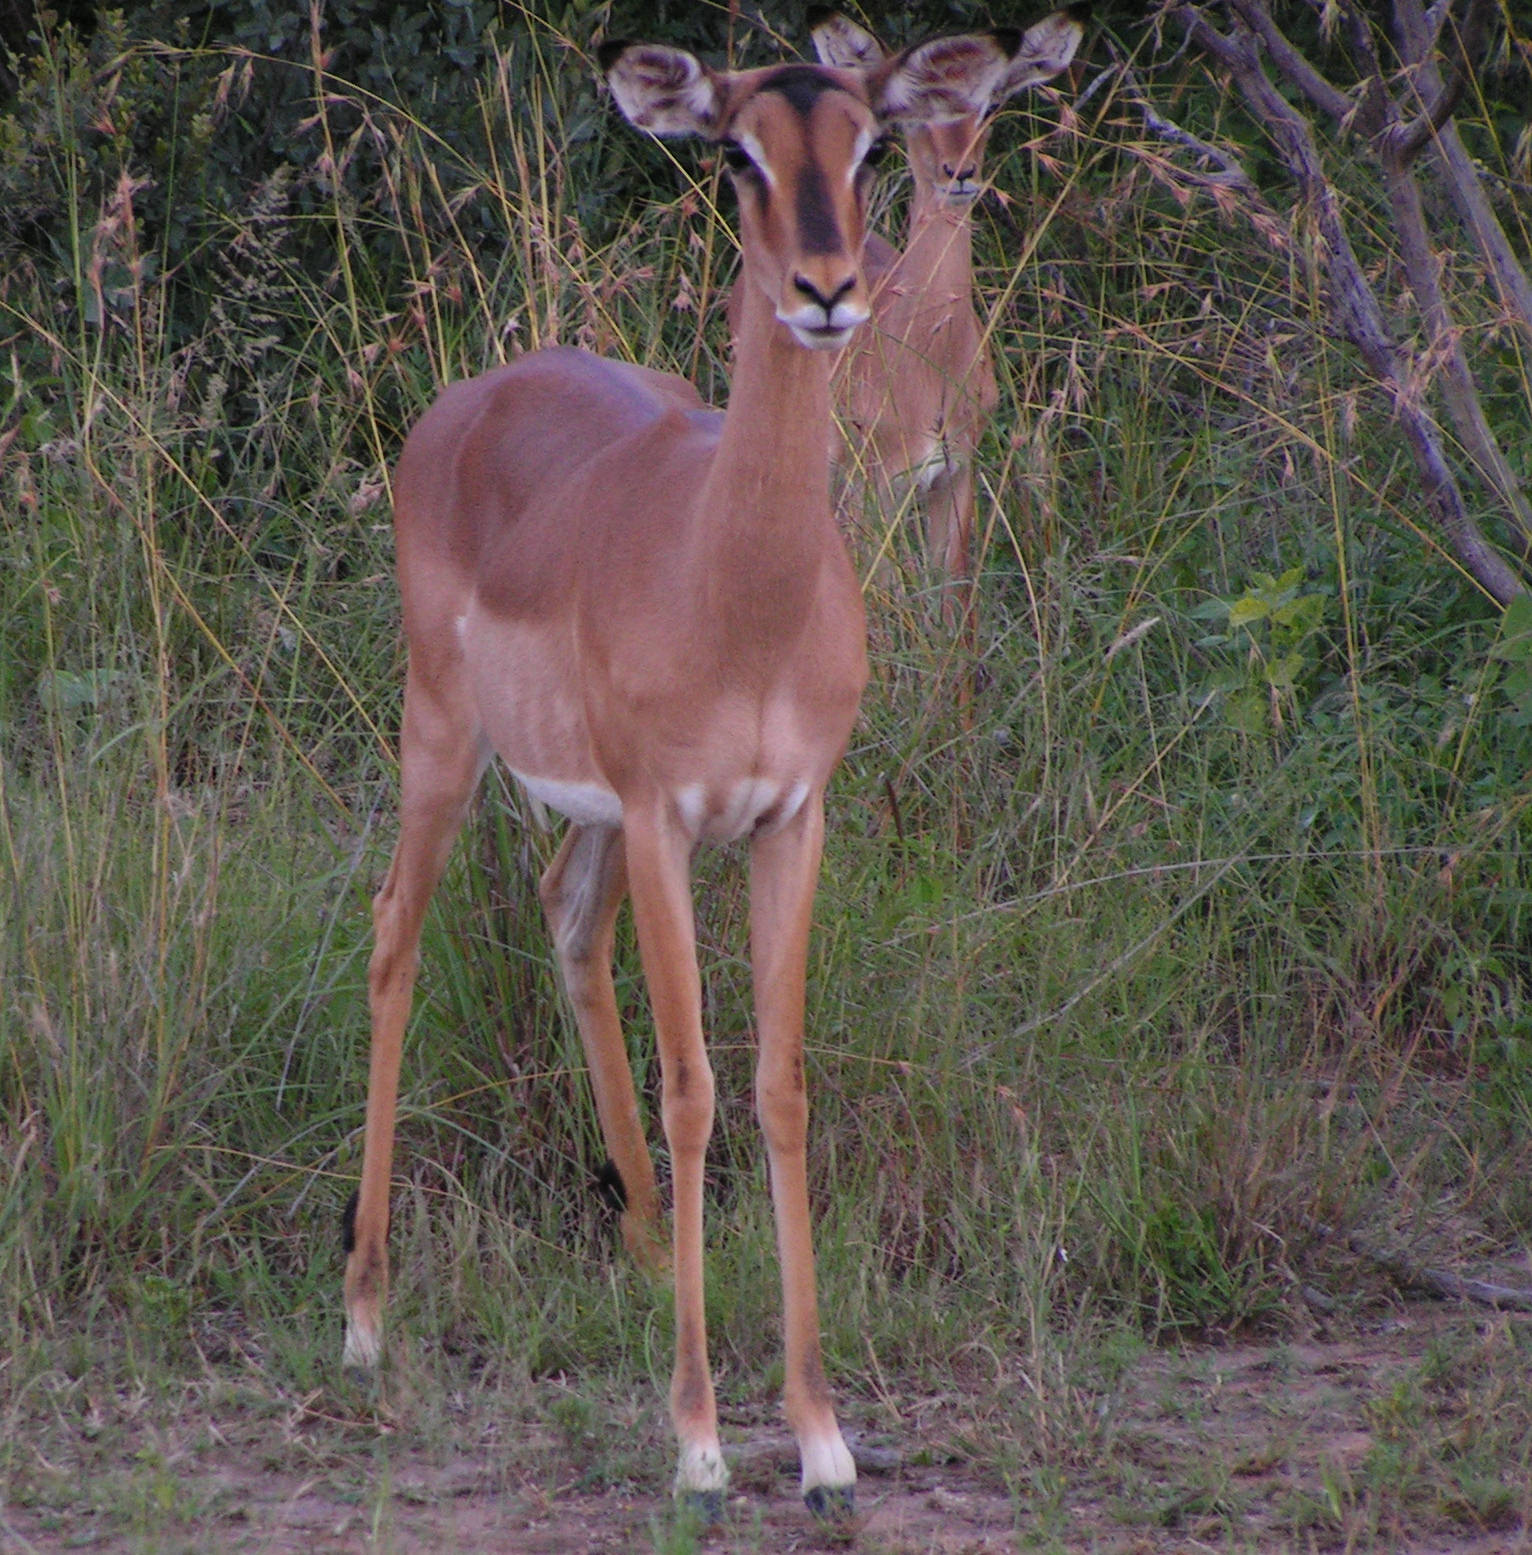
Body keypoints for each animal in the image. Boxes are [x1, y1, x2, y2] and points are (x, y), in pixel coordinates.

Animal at [339, 26, 1041, 1523]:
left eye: (870, 143)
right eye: (735, 153)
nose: (828, 290)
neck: (739, 589)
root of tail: (467, 402)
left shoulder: (788, 818)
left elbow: (776, 1085)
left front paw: (823, 1437)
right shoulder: (670, 820)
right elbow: (694, 1086)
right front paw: (702, 1441)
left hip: (588, 815)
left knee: (562, 914)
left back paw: (650, 1252)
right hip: (443, 742)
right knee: (392, 938)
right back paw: (365, 1317)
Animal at [808, 6, 1086, 626]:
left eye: (991, 103)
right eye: (911, 109)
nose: (959, 172)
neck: (930, 354)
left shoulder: (956, 476)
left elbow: (956, 605)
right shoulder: (881, 482)